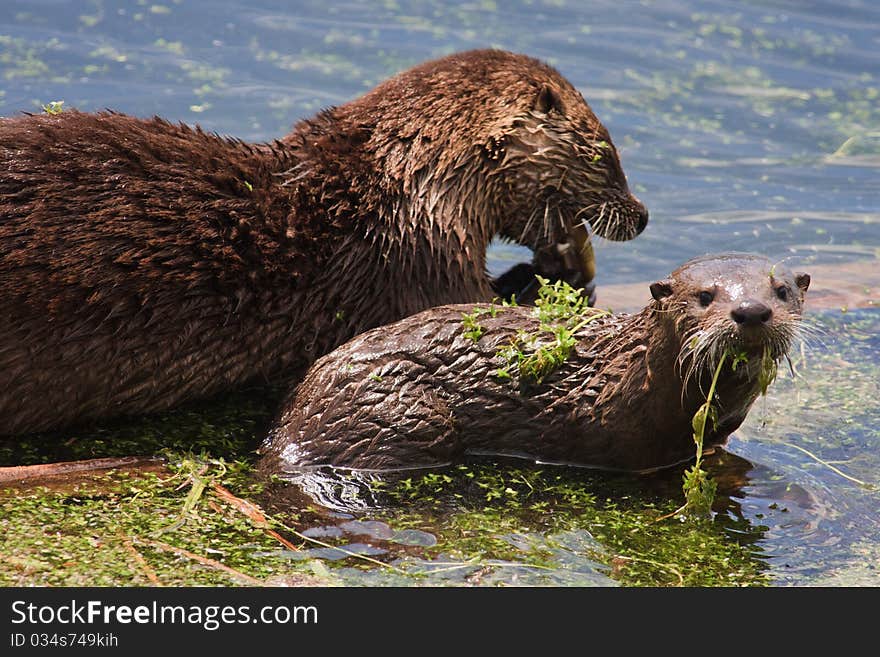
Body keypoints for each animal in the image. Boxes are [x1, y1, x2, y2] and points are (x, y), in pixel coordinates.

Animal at [0, 47, 648, 436]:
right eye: (608, 154)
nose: (641, 216)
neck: (408, 191)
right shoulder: (426, 273)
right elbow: (488, 311)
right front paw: (567, 265)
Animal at [258, 251, 808, 472]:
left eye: (781, 291)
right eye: (704, 296)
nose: (751, 310)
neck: (627, 378)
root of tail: (289, 423)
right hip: (403, 416)